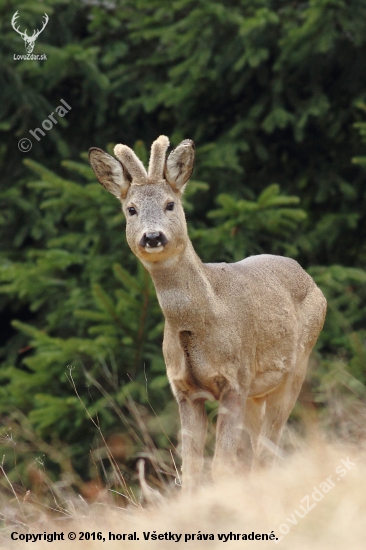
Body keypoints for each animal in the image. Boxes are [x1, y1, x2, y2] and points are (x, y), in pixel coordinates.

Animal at [88, 137, 326, 492]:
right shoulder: (185, 390)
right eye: (131, 209)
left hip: (295, 368)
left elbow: (222, 466)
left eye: (170, 204)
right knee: (256, 451)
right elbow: (191, 469)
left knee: (269, 448)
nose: (152, 236)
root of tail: (309, 277)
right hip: (257, 391)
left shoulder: (235, 379)